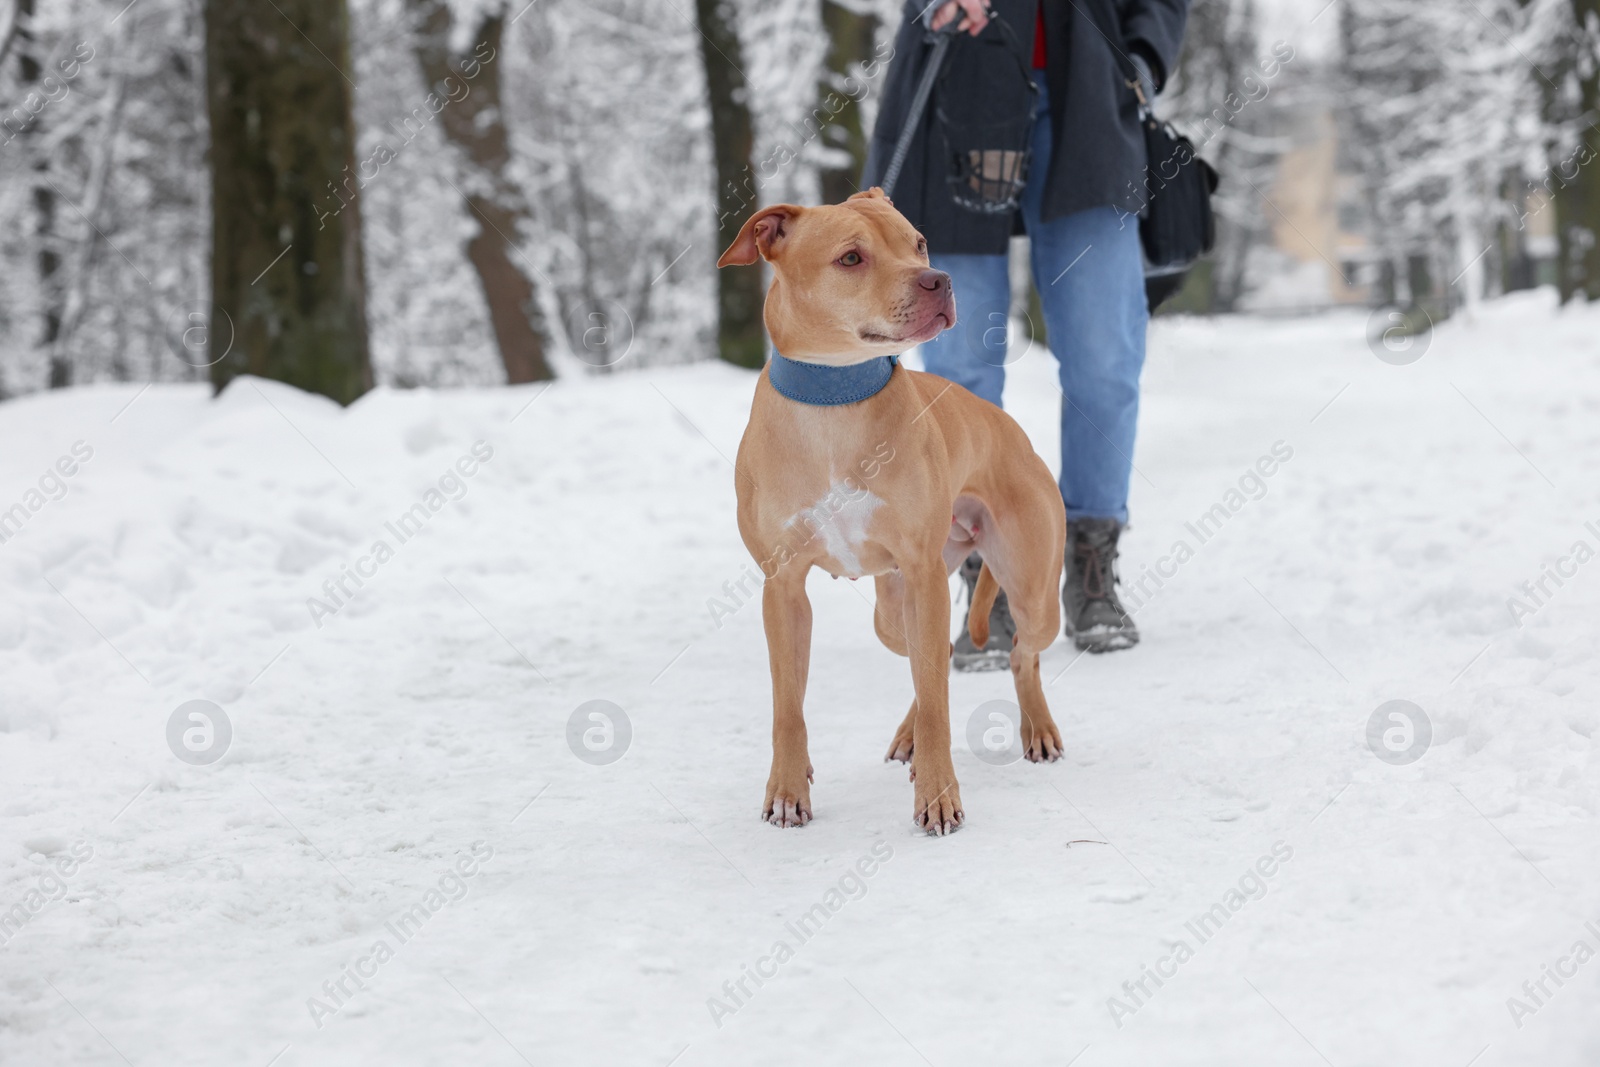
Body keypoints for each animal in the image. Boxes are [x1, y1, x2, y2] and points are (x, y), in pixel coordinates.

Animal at [723, 189, 1068, 831]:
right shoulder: (783, 588)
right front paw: (786, 790)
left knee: (1019, 655)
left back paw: (1037, 727)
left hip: (1030, 591)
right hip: (894, 609)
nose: (940, 279)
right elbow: (789, 706)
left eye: (920, 244)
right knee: (932, 656)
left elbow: (939, 702)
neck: (834, 400)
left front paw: (937, 795)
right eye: (851, 258)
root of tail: (1009, 428)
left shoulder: (923, 572)